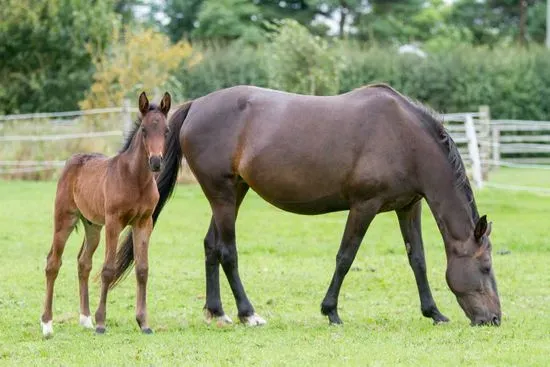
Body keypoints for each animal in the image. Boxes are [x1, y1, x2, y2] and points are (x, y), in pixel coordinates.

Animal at [41, 90, 171, 338]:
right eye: (144, 130)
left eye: (166, 130)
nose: (156, 162)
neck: (135, 179)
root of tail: (73, 160)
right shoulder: (114, 222)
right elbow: (108, 269)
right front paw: (102, 323)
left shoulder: (143, 223)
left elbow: (142, 269)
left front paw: (143, 323)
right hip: (64, 219)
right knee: (53, 262)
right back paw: (47, 324)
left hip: (93, 227)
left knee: (83, 263)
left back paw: (85, 319)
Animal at [110, 84, 502, 328]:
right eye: (485, 268)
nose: (494, 319)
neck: (405, 138)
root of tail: (196, 106)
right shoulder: (364, 206)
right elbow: (346, 257)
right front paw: (331, 311)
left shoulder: (408, 207)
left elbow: (417, 259)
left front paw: (433, 312)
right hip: (222, 193)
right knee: (227, 251)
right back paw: (248, 313)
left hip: (233, 193)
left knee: (211, 246)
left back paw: (217, 312)